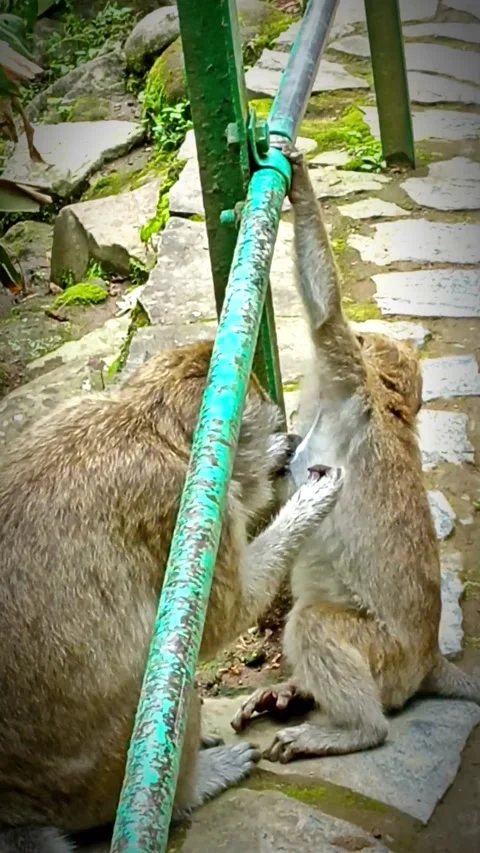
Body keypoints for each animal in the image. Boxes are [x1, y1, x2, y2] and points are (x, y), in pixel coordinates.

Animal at [0, 339, 344, 852]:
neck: (152, 427)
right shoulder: (186, 499)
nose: (287, 442)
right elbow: (221, 619)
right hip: (96, 779)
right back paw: (192, 788)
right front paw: (311, 502)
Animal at [231, 141, 480, 763]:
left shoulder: (347, 378)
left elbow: (326, 316)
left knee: (316, 625)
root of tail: (427, 662)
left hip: (383, 657)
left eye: (369, 339)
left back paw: (355, 730)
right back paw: (294, 695)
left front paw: (298, 181)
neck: (388, 409)